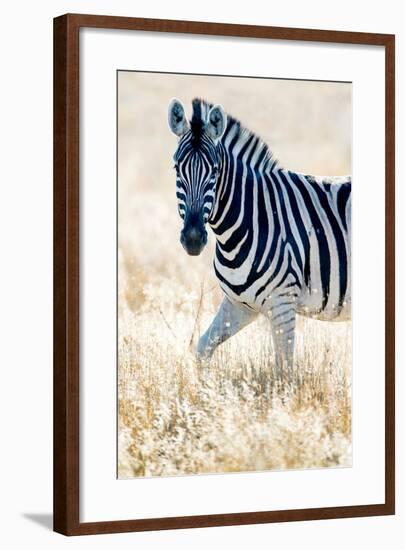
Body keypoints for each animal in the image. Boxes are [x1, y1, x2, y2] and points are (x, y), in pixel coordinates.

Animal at [166, 98, 348, 384]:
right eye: (176, 168)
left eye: (215, 171)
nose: (193, 239)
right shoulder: (239, 304)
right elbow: (203, 346)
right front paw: (202, 390)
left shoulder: (283, 303)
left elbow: (284, 371)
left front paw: (286, 398)